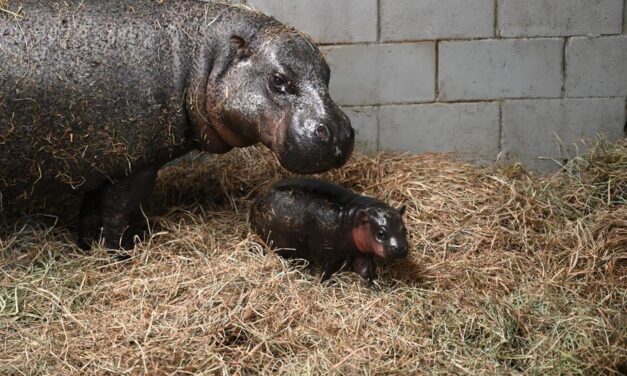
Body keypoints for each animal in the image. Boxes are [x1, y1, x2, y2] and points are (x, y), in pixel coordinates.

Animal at [0, 2, 354, 250]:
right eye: (278, 79)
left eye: (327, 72)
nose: (338, 132)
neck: (204, 57)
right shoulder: (133, 166)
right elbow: (115, 214)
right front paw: (118, 254)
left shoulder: (102, 163)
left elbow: (91, 214)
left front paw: (89, 248)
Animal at [251, 179, 412, 282]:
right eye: (381, 233)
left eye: (404, 229)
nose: (400, 248)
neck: (354, 220)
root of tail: (258, 198)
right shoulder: (333, 255)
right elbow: (326, 272)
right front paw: (321, 284)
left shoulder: (362, 253)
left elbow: (364, 271)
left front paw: (373, 285)